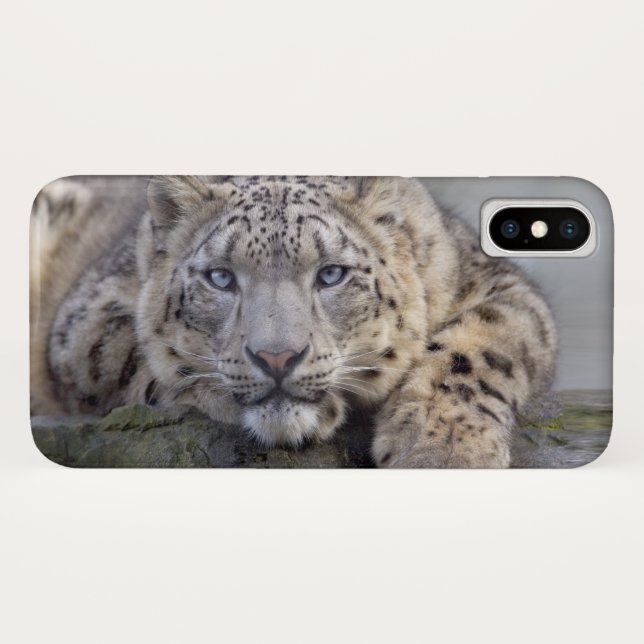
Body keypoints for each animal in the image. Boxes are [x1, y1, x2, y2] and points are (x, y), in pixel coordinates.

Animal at [30, 175, 556, 467]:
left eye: (331, 274)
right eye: (221, 277)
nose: (277, 358)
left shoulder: (497, 283)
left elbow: (480, 348)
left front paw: (443, 451)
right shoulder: (88, 317)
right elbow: (148, 359)